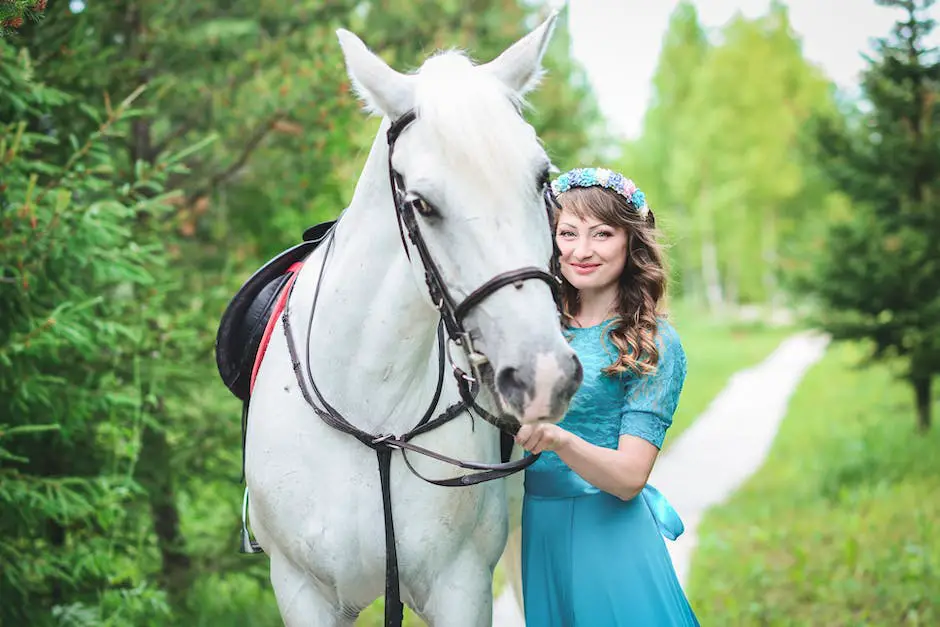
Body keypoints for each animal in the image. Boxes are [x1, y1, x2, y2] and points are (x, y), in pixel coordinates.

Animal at [244, 12, 580, 624]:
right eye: (422, 203)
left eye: (542, 178)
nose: (543, 374)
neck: (371, 420)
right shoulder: (301, 590)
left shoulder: (460, 586)